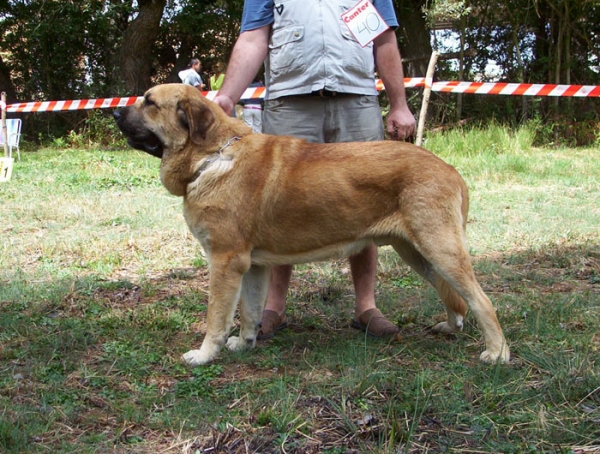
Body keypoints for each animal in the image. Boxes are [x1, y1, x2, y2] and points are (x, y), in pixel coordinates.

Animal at [113, 84, 510, 366]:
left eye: (149, 102)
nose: (115, 110)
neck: (213, 156)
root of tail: (450, 170)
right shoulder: (252, 266)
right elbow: (250, 311)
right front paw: (245, 342)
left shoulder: (225, 261)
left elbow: (217, 316)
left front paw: (205, 354)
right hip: (417, 252)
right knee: (453, 295)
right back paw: (452, 327)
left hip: (440, 248)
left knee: (481, 300)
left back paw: (498, 352)